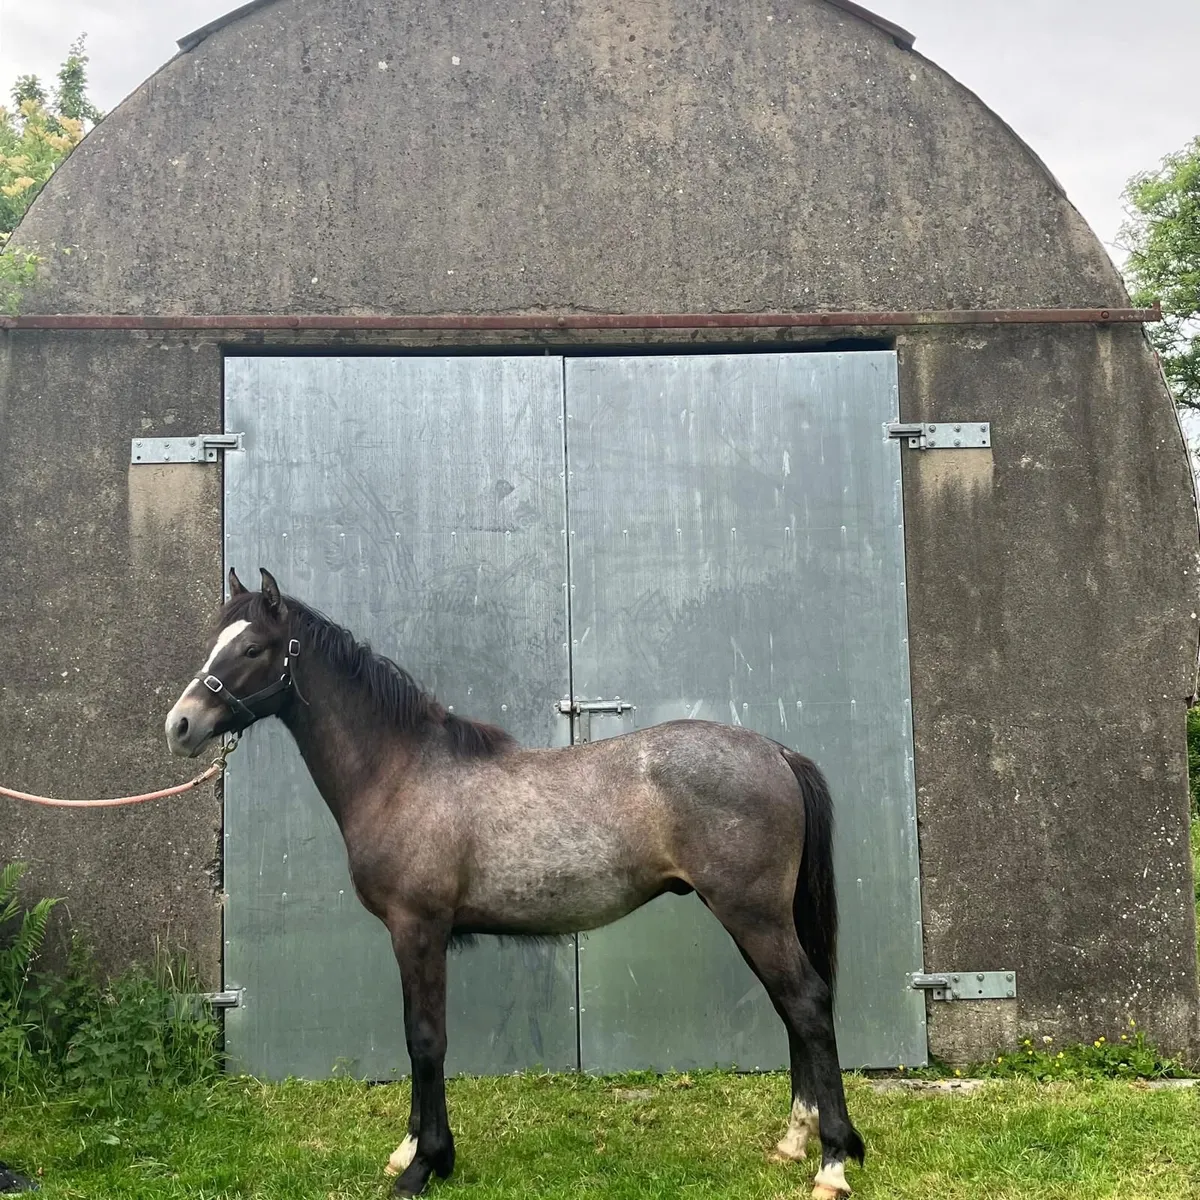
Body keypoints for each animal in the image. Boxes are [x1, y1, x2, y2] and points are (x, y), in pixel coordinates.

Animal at [165, 568, 865, 1199]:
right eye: (217, 640)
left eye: (252, 648)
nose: (180, 725)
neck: (403, 773)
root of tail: (776, 752)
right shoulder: (412, 937)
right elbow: (415, 1038)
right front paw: (411, 1150)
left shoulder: (418, 931)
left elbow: (426, 1040)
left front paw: (426, 1166)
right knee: (789, 1007)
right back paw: (794, 1142)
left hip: (754, 915)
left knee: (806, 1003)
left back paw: (831, 1165)